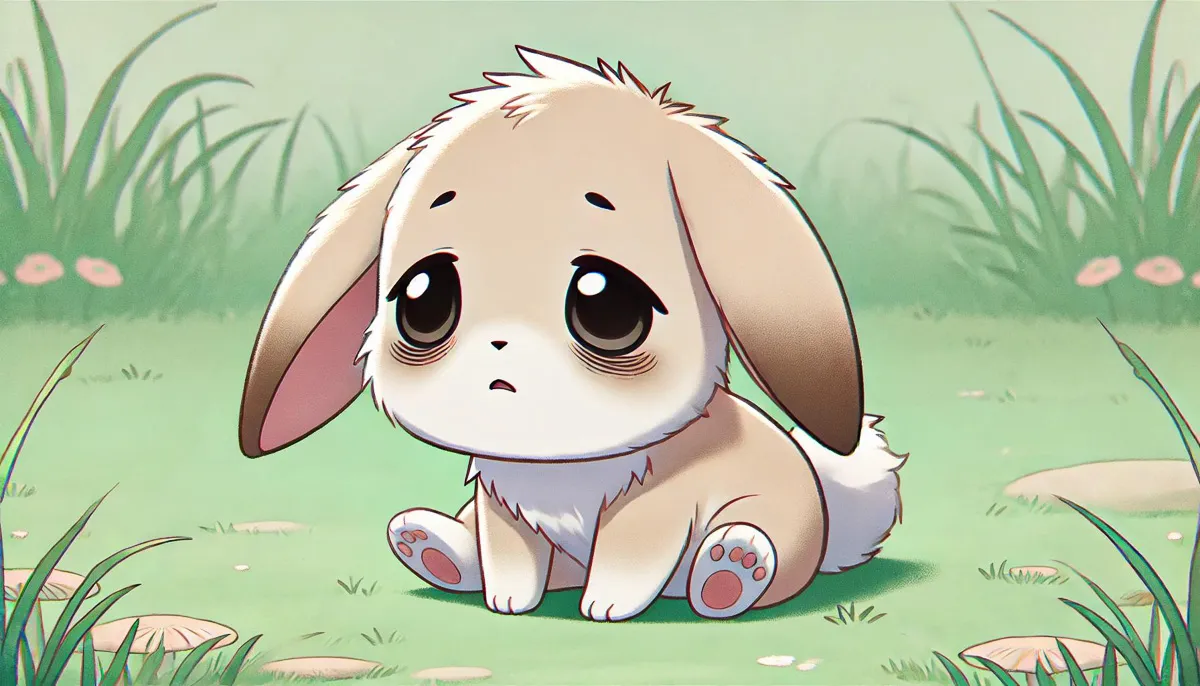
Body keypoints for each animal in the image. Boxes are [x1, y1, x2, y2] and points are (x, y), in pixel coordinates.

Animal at [238, 46, 906, 621]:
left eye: (607, 306)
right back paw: (431, 549)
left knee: (760, 554)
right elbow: (510, 554)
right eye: (422, 301)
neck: (559, 464)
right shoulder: (501, 507)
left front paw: (607, 606)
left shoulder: (658, 506)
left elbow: (630, 556)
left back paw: (730, 572)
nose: (499, 346)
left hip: (775, 519)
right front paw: (508, 600)